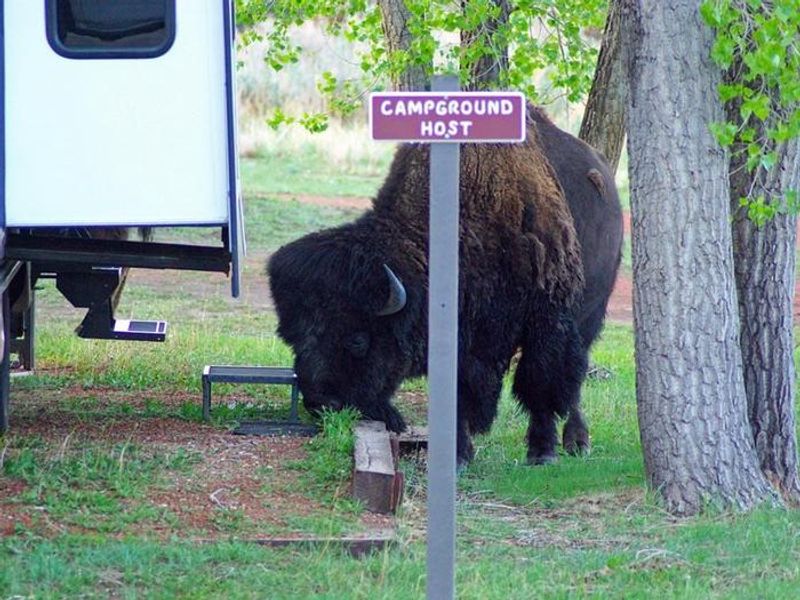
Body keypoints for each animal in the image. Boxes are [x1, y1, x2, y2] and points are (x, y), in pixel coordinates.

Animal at [268, 106, 623, 466]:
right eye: (290, 336)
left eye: (357, 340)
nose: (321, 403)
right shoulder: (463, 341)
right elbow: (458, 395)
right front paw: (459, 454)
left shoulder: (546, 321)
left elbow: (539, 382)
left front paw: (542, 451)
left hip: (590, 314)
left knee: (573, 376)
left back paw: (577, 442)